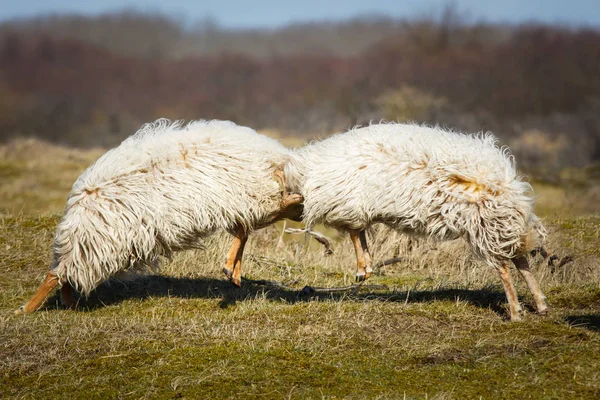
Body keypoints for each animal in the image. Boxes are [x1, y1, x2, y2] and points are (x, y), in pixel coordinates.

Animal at [15, 120, 302, 314]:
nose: (300, 216)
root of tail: (78, 203)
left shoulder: (240, 204)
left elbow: (244, 232)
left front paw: (233, 272)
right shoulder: (246, 200)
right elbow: (255, 223)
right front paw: (231, 269)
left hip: (91, 246)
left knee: (63, 272)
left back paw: (68, 303)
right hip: (98, 244)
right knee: (58, 273)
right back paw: (29, 308)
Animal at [286, 123, 548, 320]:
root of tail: (508, 181)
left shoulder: (348, 204)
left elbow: (355, 233)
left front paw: (363, 268)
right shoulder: (355, 208)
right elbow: (359, 233)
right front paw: (366, 267)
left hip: (486, 224)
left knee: (504, 265)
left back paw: (515, 311)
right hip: (500, 224)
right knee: (519, 257)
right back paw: (540, 304)